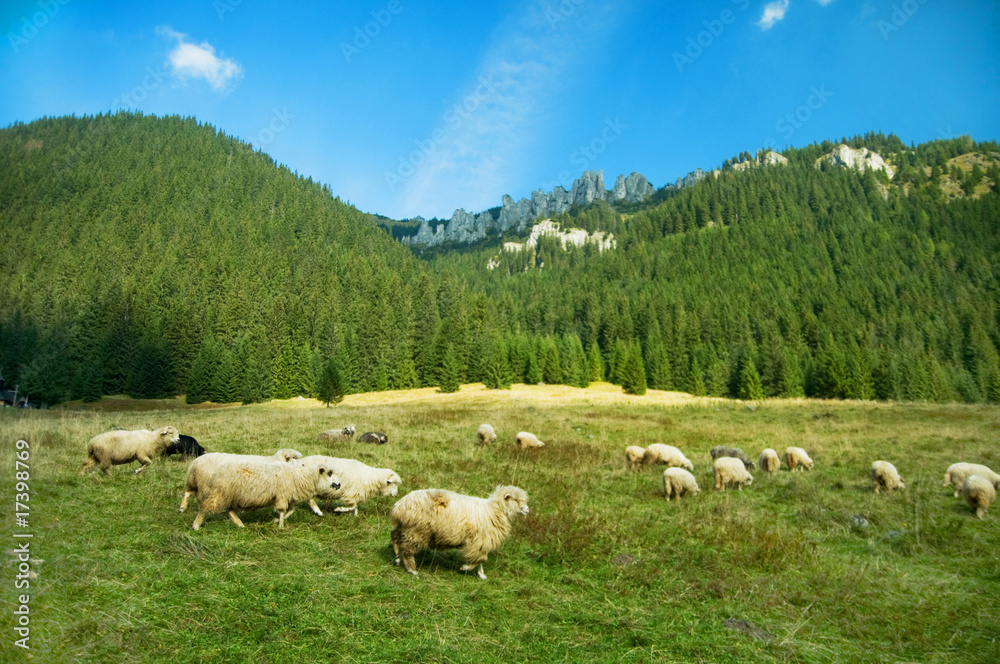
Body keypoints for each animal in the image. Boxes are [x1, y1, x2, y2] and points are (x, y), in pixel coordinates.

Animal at [190, 459, 340, 530]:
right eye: (329, 473)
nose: (338, 485)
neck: (300, 477)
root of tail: (217, 472)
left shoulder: (288, 497)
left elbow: (290, 511)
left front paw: (276, 521)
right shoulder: (282, 496)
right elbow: (282, 511)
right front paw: (280, 525)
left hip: (233, 497)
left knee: (230, 511)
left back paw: (240, 525)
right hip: (220, 493)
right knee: (205, 507)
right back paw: (196, 525)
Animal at [390, 485, 529, 580]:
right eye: (516, 500)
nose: (527, 510)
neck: (495, 510)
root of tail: (400, 506)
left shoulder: (481, 543)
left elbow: (480, 560)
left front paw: (481, 574)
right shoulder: (479, 541)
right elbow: (481, 559)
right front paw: (465, 568)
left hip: (405, 528)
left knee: (395, 538)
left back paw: (397, 560)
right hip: (416, 531)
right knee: (407, 550)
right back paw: (412, 569)